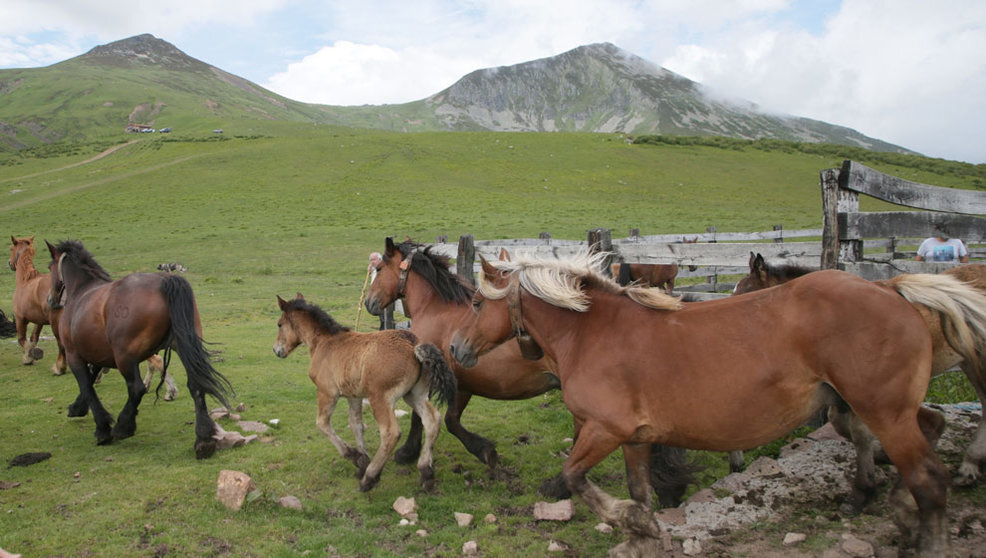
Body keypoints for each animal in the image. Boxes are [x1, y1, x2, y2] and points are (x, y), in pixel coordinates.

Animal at [46, 241, 233, 460]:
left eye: (49, 267)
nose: (50, 300)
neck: (81, 290)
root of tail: (165, 282)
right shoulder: (99, 354)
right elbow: (91, 380)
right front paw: (77, 407)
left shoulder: (74, 354)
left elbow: (87, 386)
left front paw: (102, 428)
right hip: (182, 346)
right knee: (195, 385)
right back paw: (203, 440)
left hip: (125, 358)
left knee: (136, 388)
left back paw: (123, 427)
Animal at [272, 296, 458, 492]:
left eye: (279, 324)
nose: (276, 350)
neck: (324, 342)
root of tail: (413, 344)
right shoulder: (354, 396)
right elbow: (356, 425)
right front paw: (362, 461)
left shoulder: (327, 392)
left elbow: (322, 424)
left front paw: (354, 456)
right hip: (415, 395)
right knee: (432, 421)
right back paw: (426, 472)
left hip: (380, 398)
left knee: (391, 433)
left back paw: (370, 478)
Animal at [364, 238, 700, 510]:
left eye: (379, 269)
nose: (368, 303)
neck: (439, 310)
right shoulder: (462, 383)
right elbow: (446, 420)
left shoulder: (442, 380)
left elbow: (436, 420)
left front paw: (426, 453)